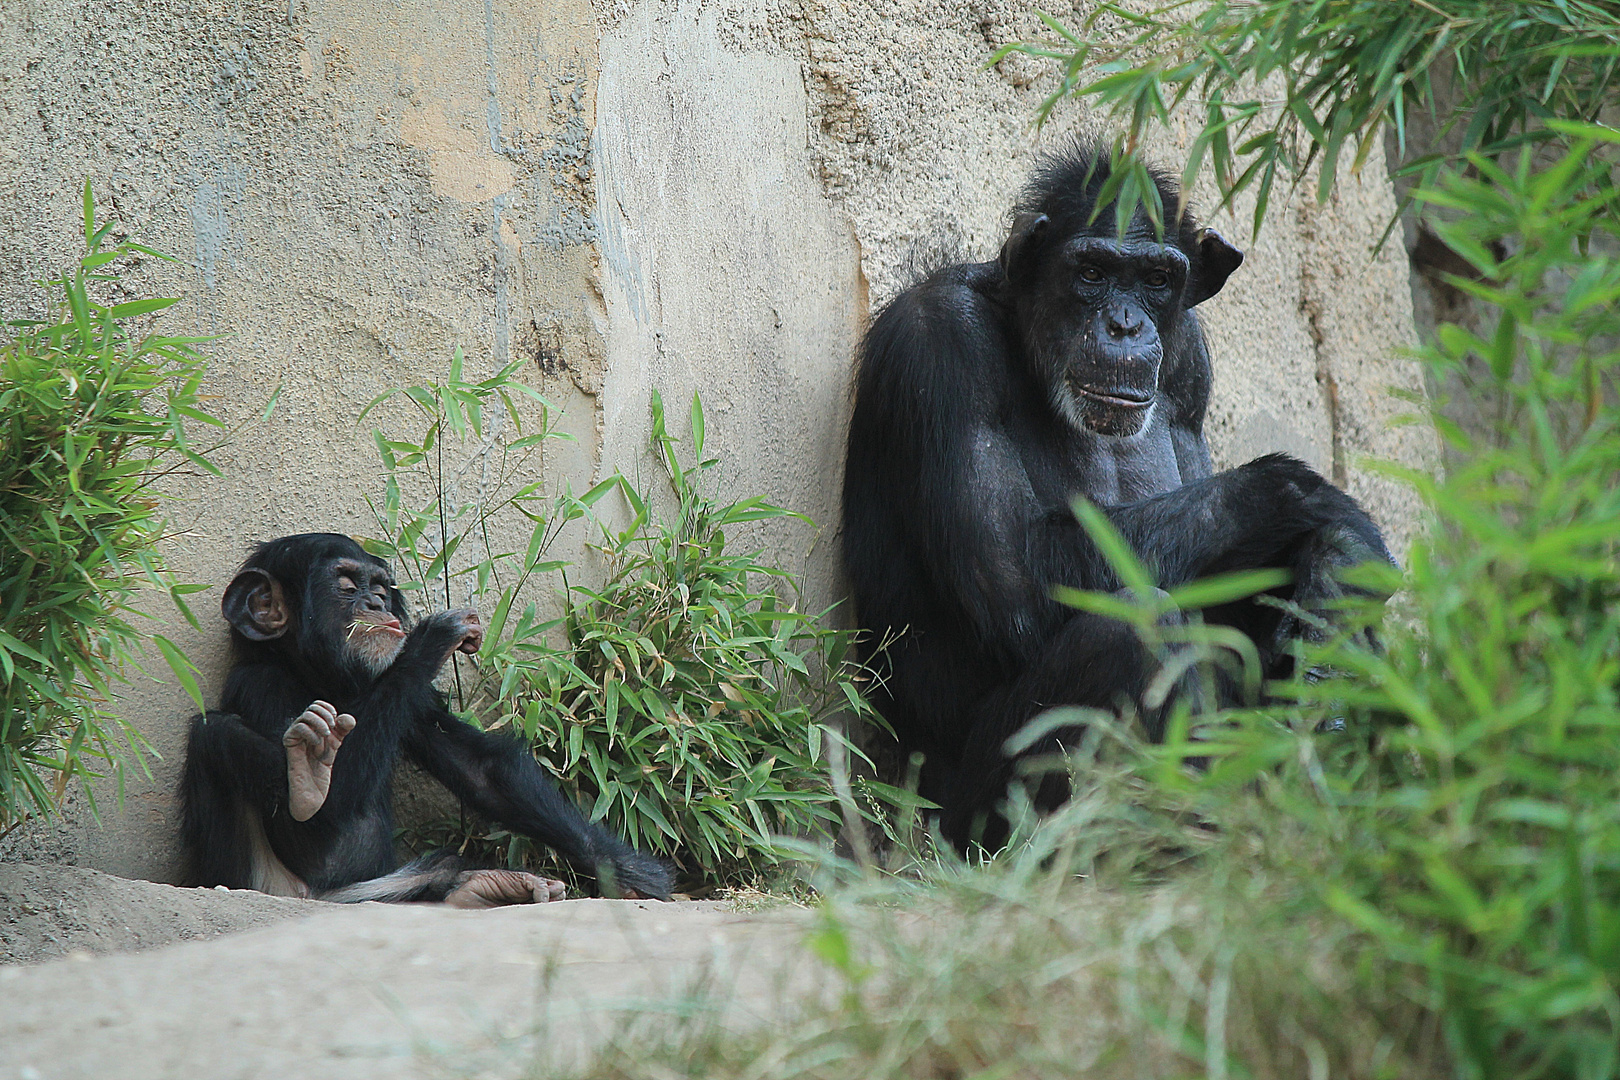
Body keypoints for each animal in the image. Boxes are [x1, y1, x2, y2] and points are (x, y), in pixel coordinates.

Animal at [180, 531, 673, 906]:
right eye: (346, 585)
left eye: (381, 587)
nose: (378, 605)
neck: (322, 677)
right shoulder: (261, 684)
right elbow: (316, 821)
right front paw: (436, 634)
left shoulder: (414, 701)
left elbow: (479, 768)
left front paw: (625, 871)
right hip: (271, 886)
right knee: (214, 732)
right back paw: (307, 779)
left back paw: (490, 884)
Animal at [848, 145, 1393, 854]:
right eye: (1092, 271)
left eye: (1157, 279)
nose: (1126, 323)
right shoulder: (940, 347)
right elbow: (1014, 578)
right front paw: (1309, 500)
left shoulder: (1190, 365)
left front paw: (1336, 582)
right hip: (966, 822)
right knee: (1132, 631)